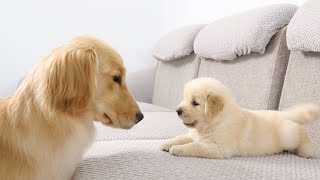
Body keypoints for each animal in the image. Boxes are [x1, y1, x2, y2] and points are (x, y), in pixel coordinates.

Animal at [160, 77, 320, 159]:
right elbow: (182, 138)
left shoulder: (218, 148)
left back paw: (306, 151)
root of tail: (282, 113)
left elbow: (194, 146)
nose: (177, 110)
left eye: (195, 103)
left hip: (290, 134)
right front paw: (167, 143)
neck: (214, 122)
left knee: (302, 134)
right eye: (185, 99)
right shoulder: (195, 135)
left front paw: (177, 149)